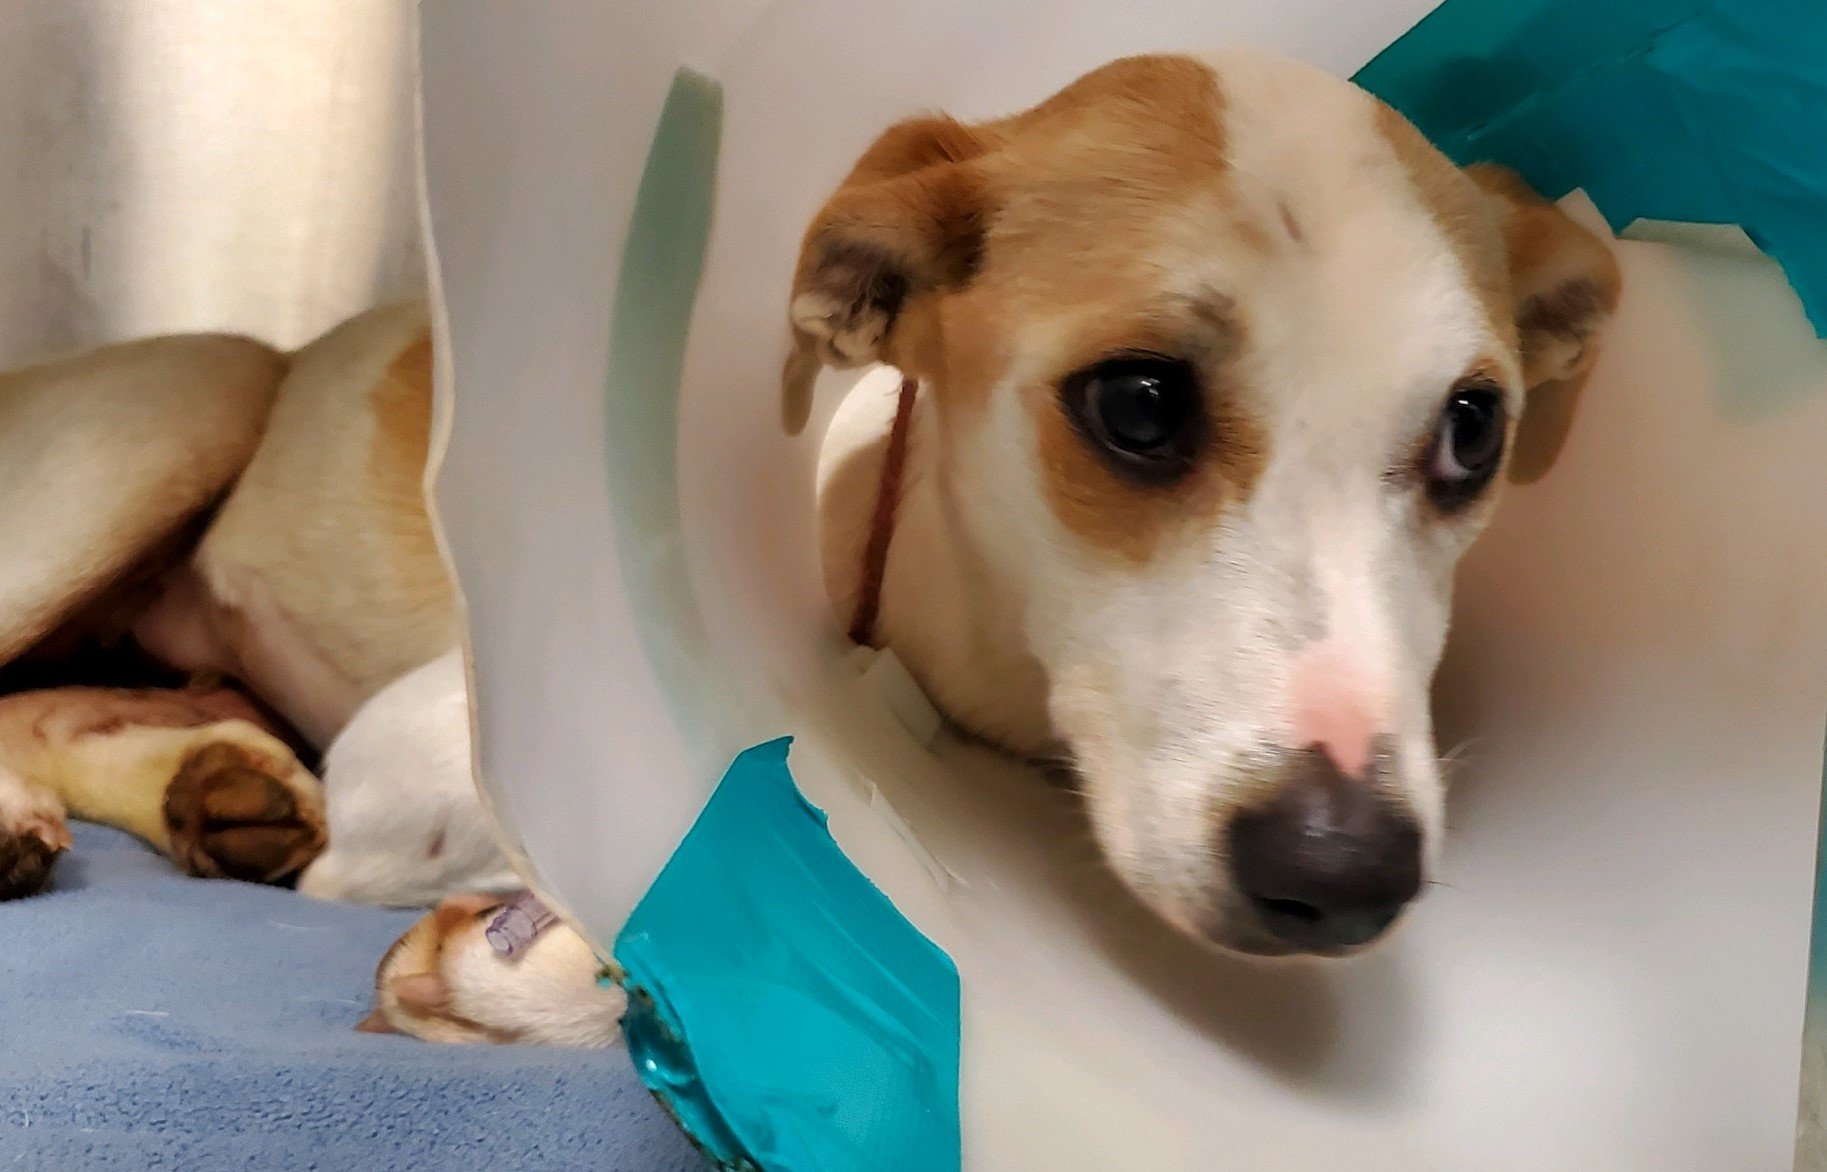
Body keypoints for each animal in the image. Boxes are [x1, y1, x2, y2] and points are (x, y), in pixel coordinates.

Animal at [0, 50, 1622, 1038]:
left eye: (1473, 430)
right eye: (1140, 402)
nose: (1347, 874)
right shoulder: (410, 752)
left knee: (78, 706)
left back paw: (209, 787)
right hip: (182, 413)